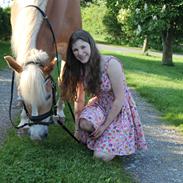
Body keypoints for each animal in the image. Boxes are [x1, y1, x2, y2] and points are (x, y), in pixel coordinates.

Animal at [2, 0, 81, 140]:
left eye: (48, 96)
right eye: (25, 99)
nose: (37, 136)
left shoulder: (67, 53)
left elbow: (63, 83)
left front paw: (59, 112)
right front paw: (23, 121)